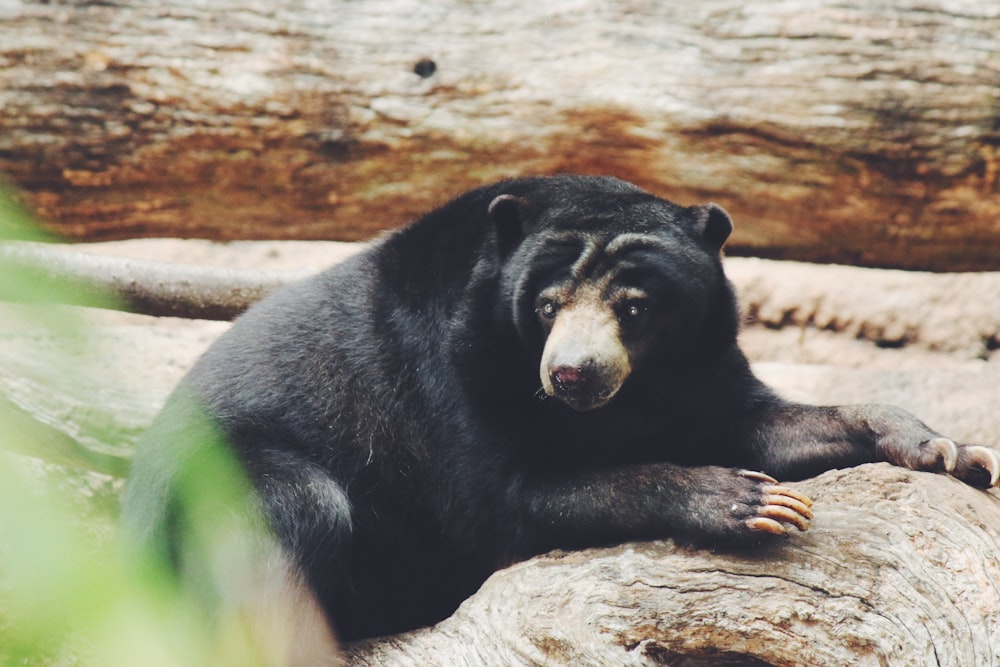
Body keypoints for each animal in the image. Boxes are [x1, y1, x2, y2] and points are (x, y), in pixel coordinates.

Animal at [123, 175, 1000, 648]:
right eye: (546, 306)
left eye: (635, 306)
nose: (572, 373)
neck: (631, 393)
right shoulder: (450, 374)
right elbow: (501, 503)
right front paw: (747, 501)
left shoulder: (701, 367)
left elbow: (765, 422)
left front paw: (947, 448)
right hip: (208, 489)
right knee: (289, 514)